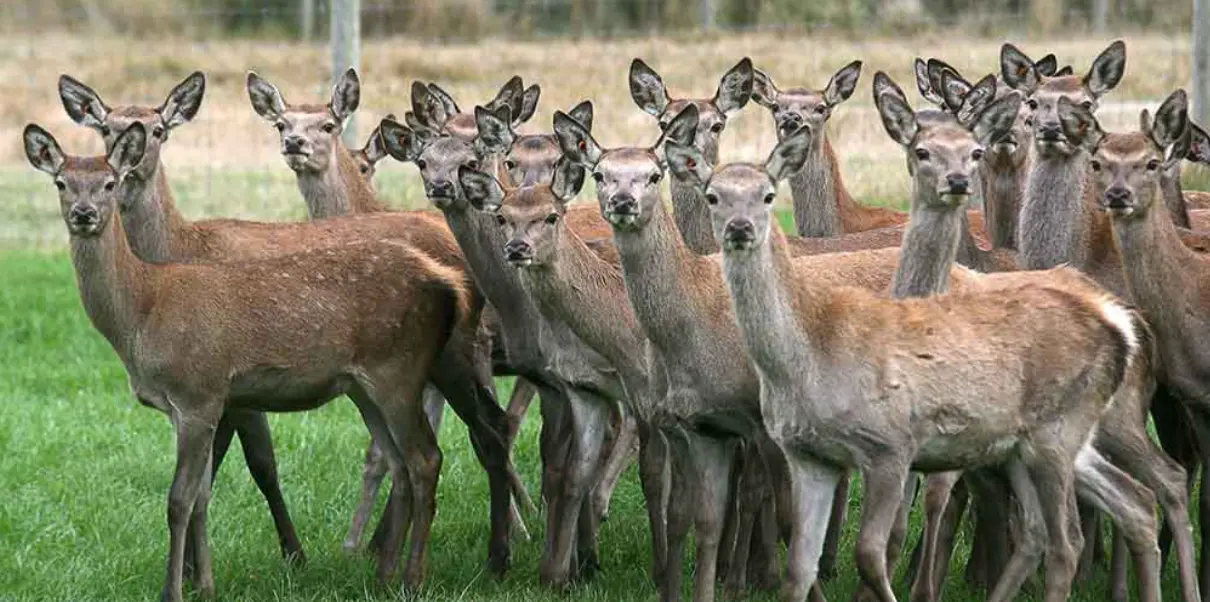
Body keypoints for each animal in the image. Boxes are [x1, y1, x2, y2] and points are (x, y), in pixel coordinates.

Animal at [57, 71, 518, 579]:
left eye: (158, 129)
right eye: (105, 128)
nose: (129, 164)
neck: (176, 252)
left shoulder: (223, 382)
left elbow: (252, 465)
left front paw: (283, 555)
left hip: (457, 353)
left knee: (485, 433)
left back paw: (496, 553)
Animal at [379, 96, 628, 589]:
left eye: (469, 161)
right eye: (424, 161)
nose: (442, 186)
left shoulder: (539, 373)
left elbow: (549, 460)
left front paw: (547, 561)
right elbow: (515, 448)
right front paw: (516, 556)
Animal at [670, 117, 1161, 602]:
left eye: (768, 195)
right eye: (713, 195)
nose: (739, 228)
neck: (804, 360)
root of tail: (1120, 323)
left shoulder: (891, 446)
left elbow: (871, 553)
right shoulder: (809, 456)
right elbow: (798, 571)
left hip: (1055, 433)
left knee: (1068, 539)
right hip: (1043, 443)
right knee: (1123, 506)